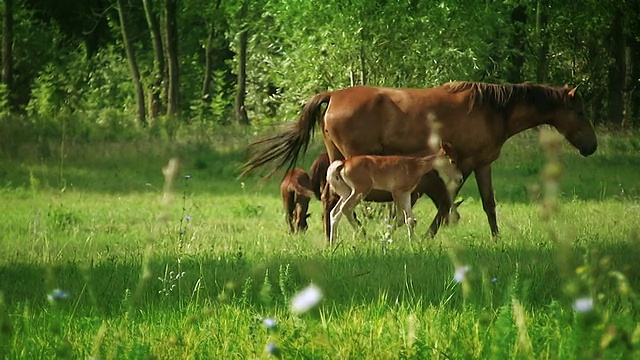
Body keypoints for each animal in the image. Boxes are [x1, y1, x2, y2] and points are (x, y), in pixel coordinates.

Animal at [330, 145, 460, 243]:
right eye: (452, 161)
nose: (460, 178)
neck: (415, 165)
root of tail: (344, 163)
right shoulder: (397, 192)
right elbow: (399, 219)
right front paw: (385, 239)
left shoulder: (406, 194)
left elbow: (410, 219)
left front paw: (413, 242)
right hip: (361, 190)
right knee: (346, 208)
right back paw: (362, 237)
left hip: (346, 192)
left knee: (335, 212)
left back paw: (332, 243)